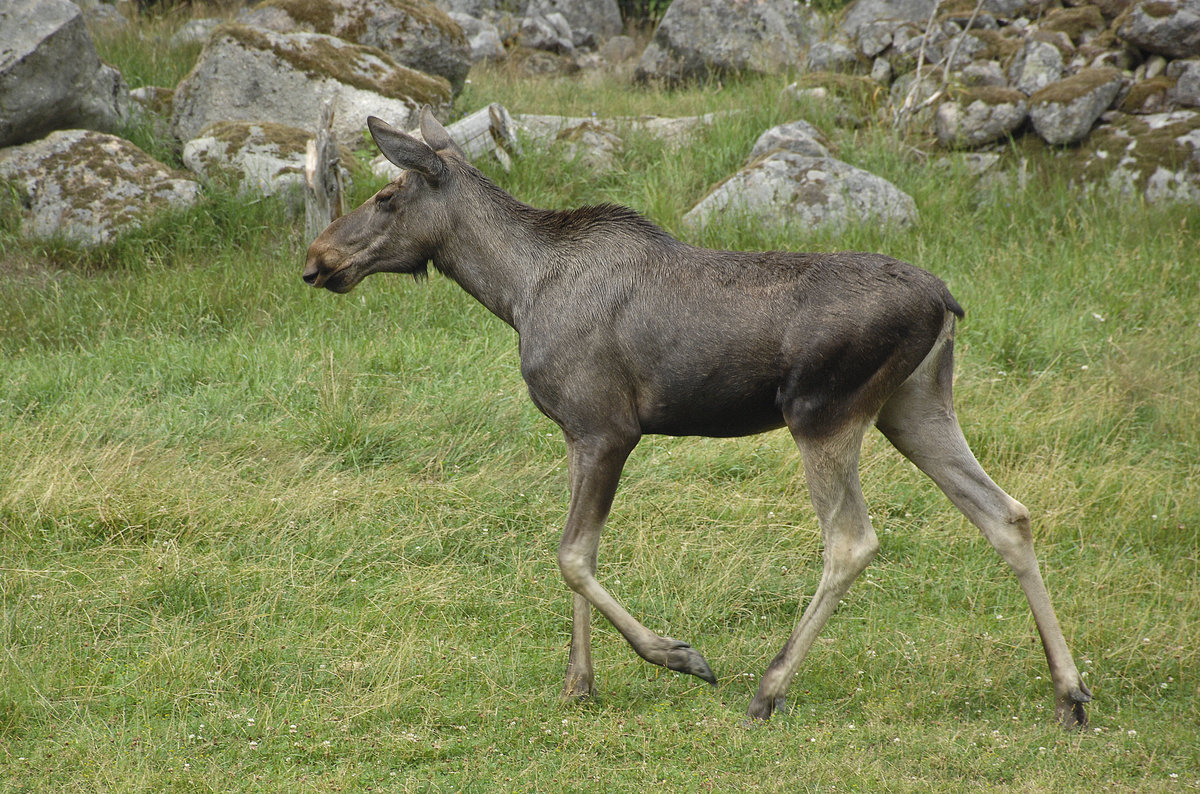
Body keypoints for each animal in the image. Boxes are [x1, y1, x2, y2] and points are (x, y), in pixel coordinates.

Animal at [304, 109, 1094, 729]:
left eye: (386, 195)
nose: (317, 259)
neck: (516, 292)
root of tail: (947, 302)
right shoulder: (576, 433)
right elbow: (575, 555)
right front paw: (579, 685)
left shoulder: (609, 428)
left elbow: (571, 556)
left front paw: (678, 655)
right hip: (915, 406)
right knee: (1007, 514)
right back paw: (1069, 693)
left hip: (824, 413)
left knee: (852, 541)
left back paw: (768, 689)